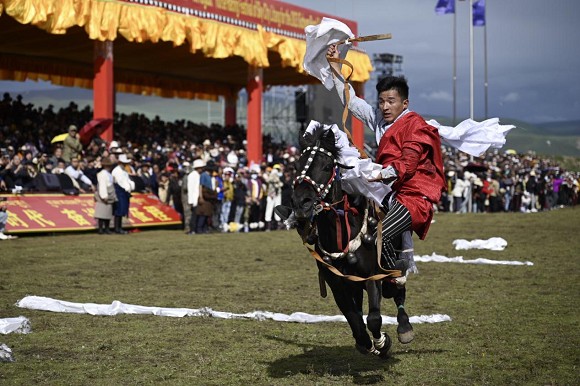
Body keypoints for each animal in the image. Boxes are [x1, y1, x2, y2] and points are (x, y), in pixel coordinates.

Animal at [278, 125, 414, 358]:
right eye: (296, 166)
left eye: (327, 166)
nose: (301, 203)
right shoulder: (337, 283)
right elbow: (353, 318)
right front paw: (365, 343)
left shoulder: (371, 275)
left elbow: (374, 318)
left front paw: (382, 343)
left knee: (398, 288)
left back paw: (404, 327)